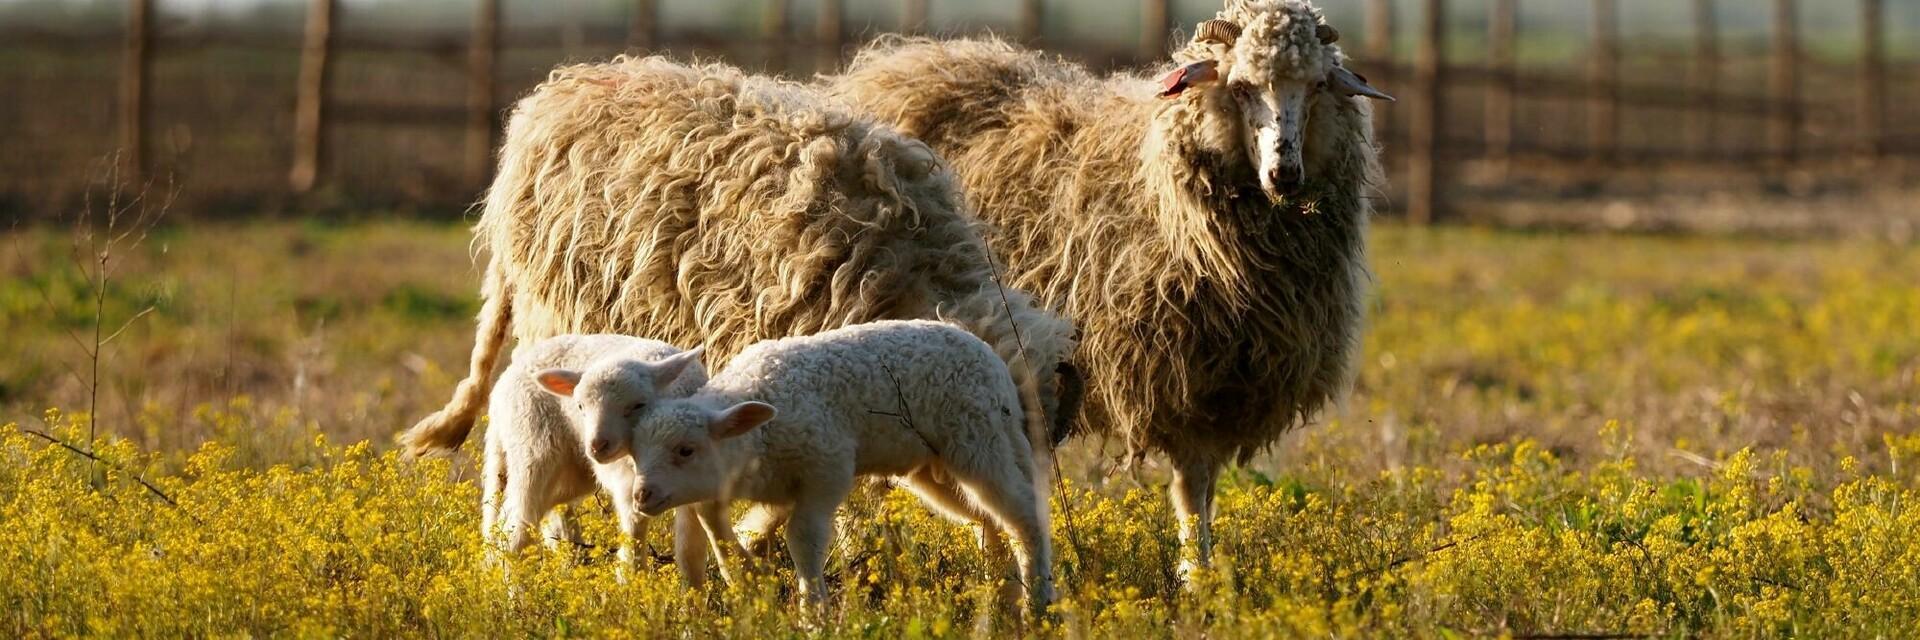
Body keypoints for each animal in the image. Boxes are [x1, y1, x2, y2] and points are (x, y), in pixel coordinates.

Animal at [480, 334, 712, 582]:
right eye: (580, 406)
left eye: (638, 405)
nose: (596, 446)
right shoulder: (629, 486)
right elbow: (633, 541)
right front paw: (632, 585)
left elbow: (689, 552)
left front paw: (693, 592)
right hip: (532, 449)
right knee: (516, 527)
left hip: (570, 473)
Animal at [555, 320, 1054, 614]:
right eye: (636, 451)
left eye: (685, 450)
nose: (643, 496)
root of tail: (992, 360)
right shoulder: (744, 485)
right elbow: (725, 528)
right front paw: (748, 581)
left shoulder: (825, 470)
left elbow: (802, 539)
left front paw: (811, 611)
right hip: (932, 468)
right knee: (987, 519)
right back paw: (1001, 596)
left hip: (978, 438)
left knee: (1023, 513)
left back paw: (1039, 601)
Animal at [828, 0, 1392, 577]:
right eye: (1239, 87)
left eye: (1319, 85)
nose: (1285, 173)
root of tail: (897, 61)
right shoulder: (1176, 377)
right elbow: (1191, 488)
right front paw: (1197, 578)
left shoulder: (1223, 384)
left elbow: (1204, 490)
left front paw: (1204, 572)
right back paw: (871, 561)